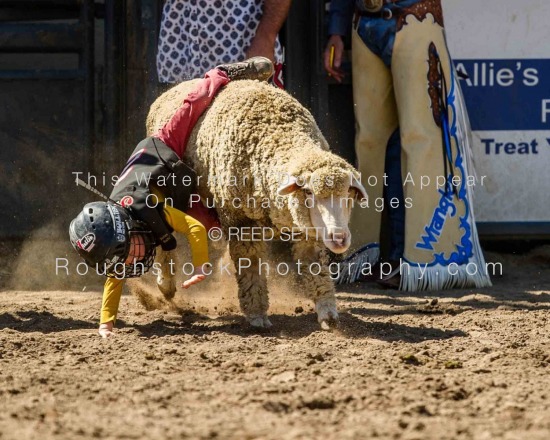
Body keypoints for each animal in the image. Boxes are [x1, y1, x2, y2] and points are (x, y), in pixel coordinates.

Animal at [149, 79, 368, 328]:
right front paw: (256, 313)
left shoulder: (306, 229)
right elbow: (250, 265)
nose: (339, 238)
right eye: (308, 192)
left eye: (348, 193)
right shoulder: (242, 222)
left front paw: (327, 310)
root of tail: (177, 86)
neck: (277, 131)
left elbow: (315, 266)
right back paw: (166, 284)